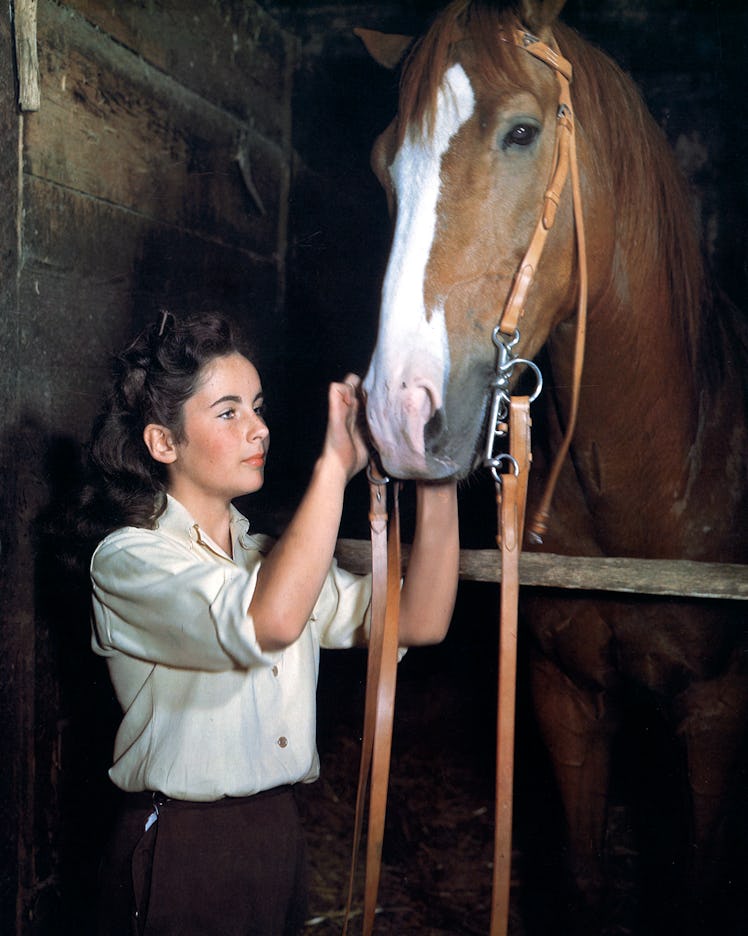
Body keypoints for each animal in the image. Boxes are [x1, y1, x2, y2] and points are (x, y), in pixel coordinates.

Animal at [356, 0, 748, 932]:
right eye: (386, 165)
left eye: (522, 133)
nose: (396, 415)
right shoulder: (563, 697)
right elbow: (580, 878)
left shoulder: (715, 709)